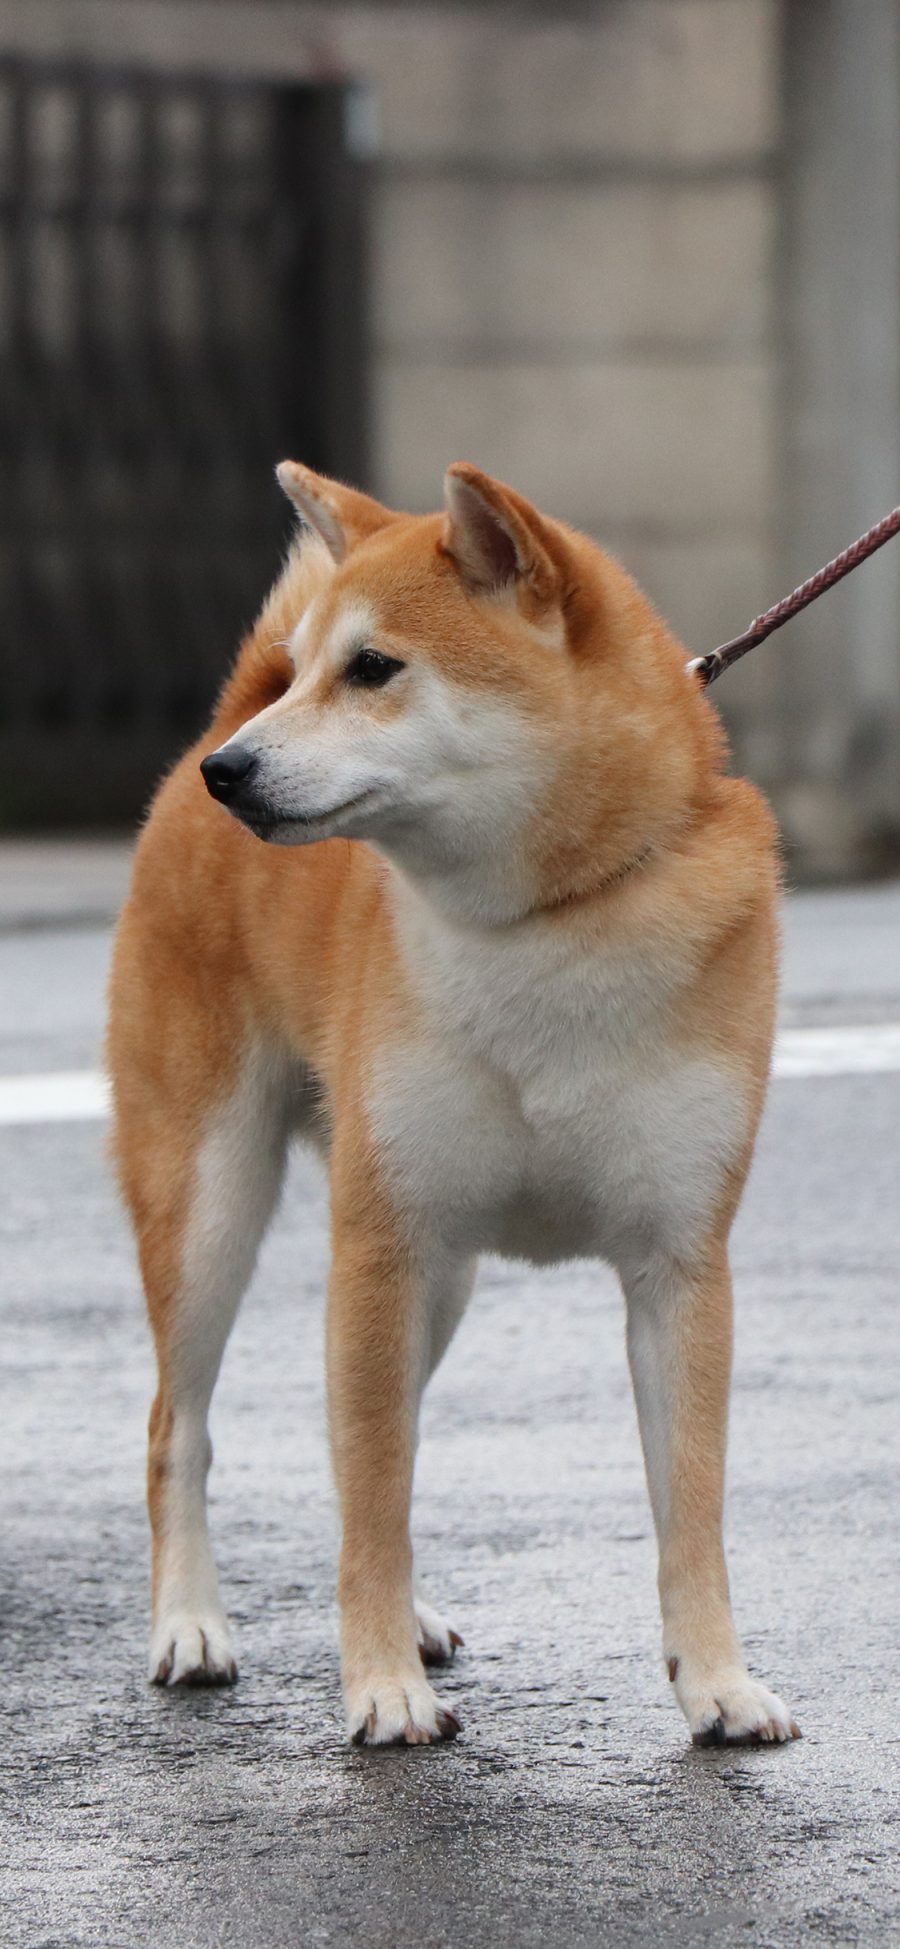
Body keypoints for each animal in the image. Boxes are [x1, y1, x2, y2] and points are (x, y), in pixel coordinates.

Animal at [107, 459, 802, 1754]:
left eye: (374, 667)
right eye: (315, 668)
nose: (235, 772)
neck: (545, 926)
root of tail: (212, 724)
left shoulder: (681, 1266)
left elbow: (690, 1504)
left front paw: (718, 1680)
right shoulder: (382, 1242)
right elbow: (373, 1496)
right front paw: (380, 1683)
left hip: (442, 1280)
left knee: (380, 1441)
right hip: (215, 1206)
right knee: (183, 1428)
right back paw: (192, 1623)